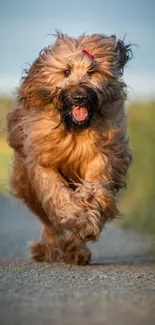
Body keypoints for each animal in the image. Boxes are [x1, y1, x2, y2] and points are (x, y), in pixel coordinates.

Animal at [6, 32, 132, 264]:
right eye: (66, 71)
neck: (74, 129)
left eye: (92, 71)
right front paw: (75, 216)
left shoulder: (101, 155)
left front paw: (86, 222)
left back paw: (75, 250)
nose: (79, 97)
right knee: (48, 221)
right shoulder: (42, 162)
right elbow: (56, 193)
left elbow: (94, 189)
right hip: (27, 185)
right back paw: (48, 248)